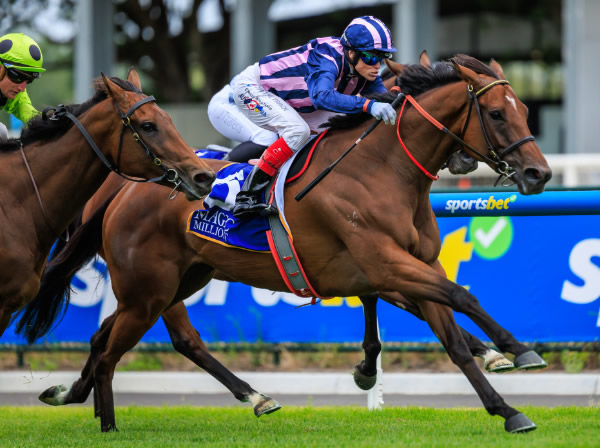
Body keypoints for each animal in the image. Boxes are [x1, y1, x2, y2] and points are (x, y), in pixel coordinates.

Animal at [23, 54, 552, 432]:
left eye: (527, 110)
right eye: (496, 113)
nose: (538, 173)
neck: (386, 169)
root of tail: (127, 188)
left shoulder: (409, 265)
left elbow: (451, 336)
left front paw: (506, 406)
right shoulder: (385, 262)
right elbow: (462, 297)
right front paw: (517, 350)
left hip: (181, 279)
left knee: (109, 336)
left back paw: (80, 397)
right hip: (148, 287)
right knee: (146, 340)